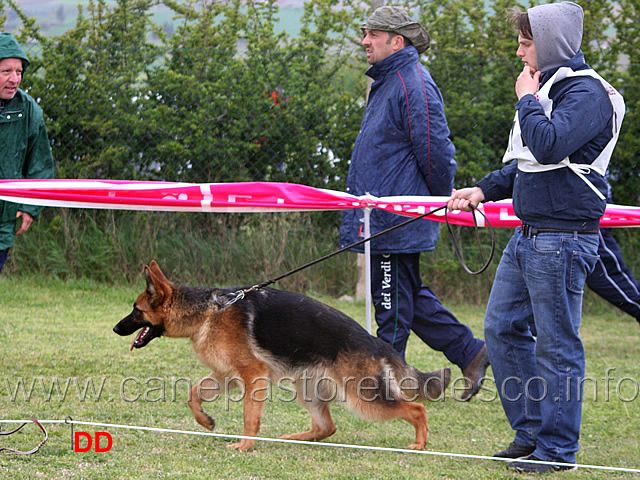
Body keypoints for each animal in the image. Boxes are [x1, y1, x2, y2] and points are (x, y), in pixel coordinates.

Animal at [116, 260, 456, 452]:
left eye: (135, 310)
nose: (116, 328)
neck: (210, 311)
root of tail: (375, 342)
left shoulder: (252, 376)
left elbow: (249, 417)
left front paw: (246, 446)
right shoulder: (225, 376)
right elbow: (192, 394)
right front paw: (206, 420)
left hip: (363, 397)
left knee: (416, 409)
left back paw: (420, 443)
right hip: (306, 389)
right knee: (327, 427)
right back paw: (291, 437)